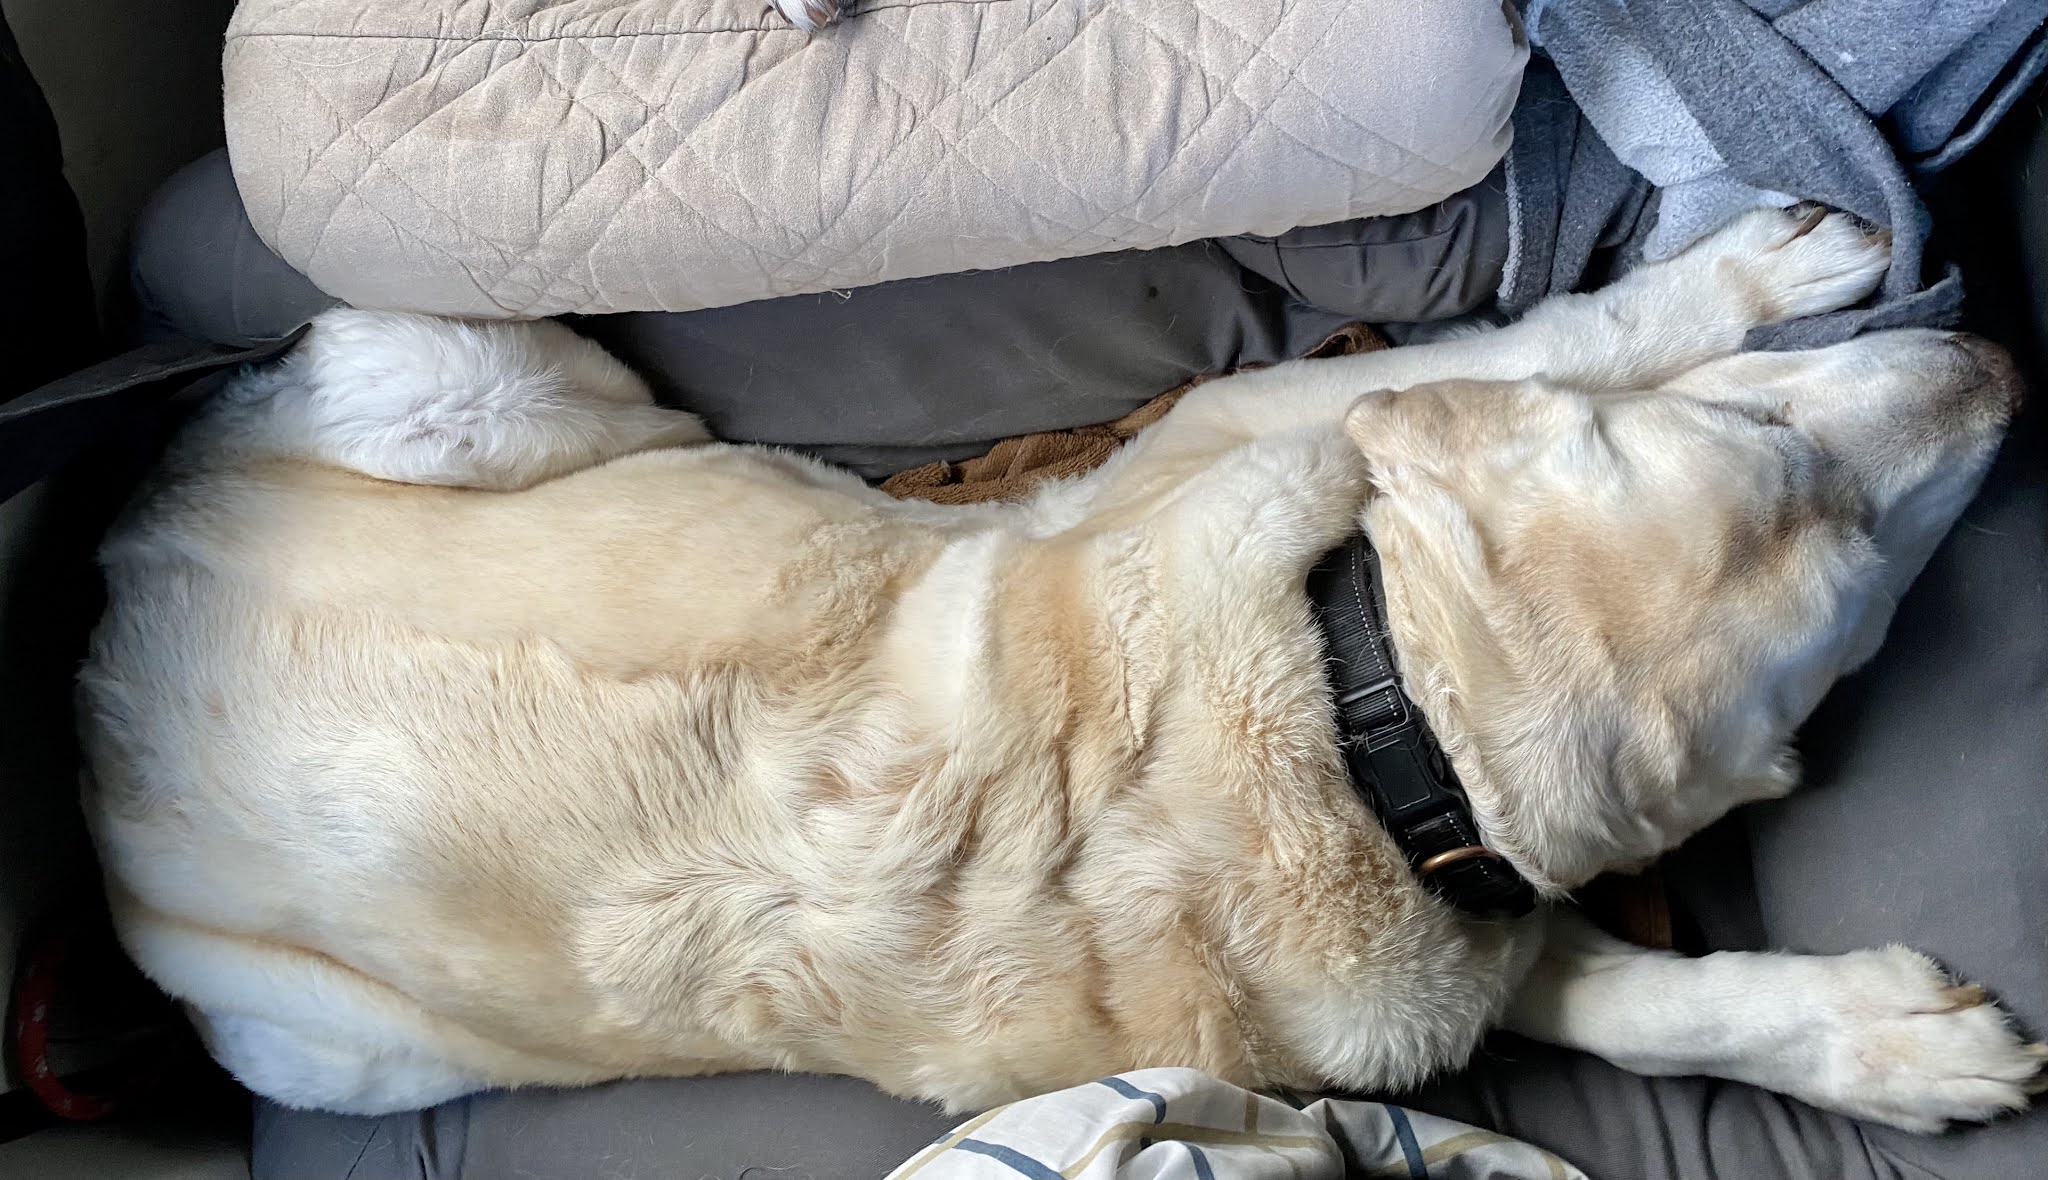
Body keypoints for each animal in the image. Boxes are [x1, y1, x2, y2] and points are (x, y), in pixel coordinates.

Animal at [78, 208, 2038, 1133]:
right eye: (1777, 444)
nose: (1998, 367)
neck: (1371, 726)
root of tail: (101, 642)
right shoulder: (1264, 420)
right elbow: (1542, 335)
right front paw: (1739, 275)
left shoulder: (1436, 924)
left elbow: (1616, 997)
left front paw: (1866, 1043)